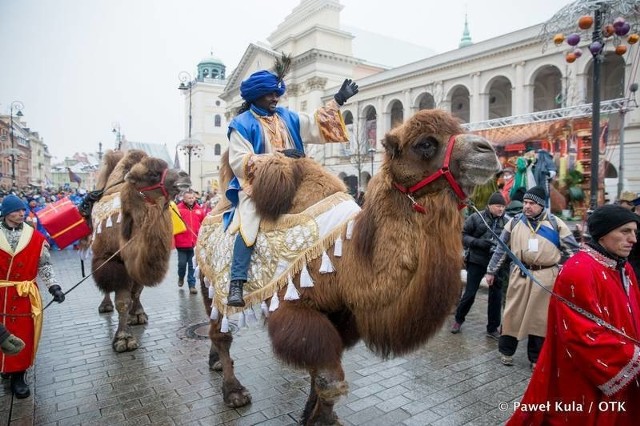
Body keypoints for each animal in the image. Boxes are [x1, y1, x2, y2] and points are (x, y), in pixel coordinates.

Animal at [90, 151, 190, 352]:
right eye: (152, 174)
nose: (185, 175)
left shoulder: (137, 262)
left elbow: (136, 292)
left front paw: (137, 315)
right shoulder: (115, 262)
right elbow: (122, 301)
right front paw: (123, 339)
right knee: (106, 286)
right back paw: (105, 306)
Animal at [196, 109, 500, 422]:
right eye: (425, 144)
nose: (488, 150)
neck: (348, 262)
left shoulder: (341, 312)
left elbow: (320, 373)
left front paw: (313, 414)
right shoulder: (295, 306)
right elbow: (329, 378)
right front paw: (322, 420)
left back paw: (215, 363)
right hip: (210, 282)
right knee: (220, 331)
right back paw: (234, 392)